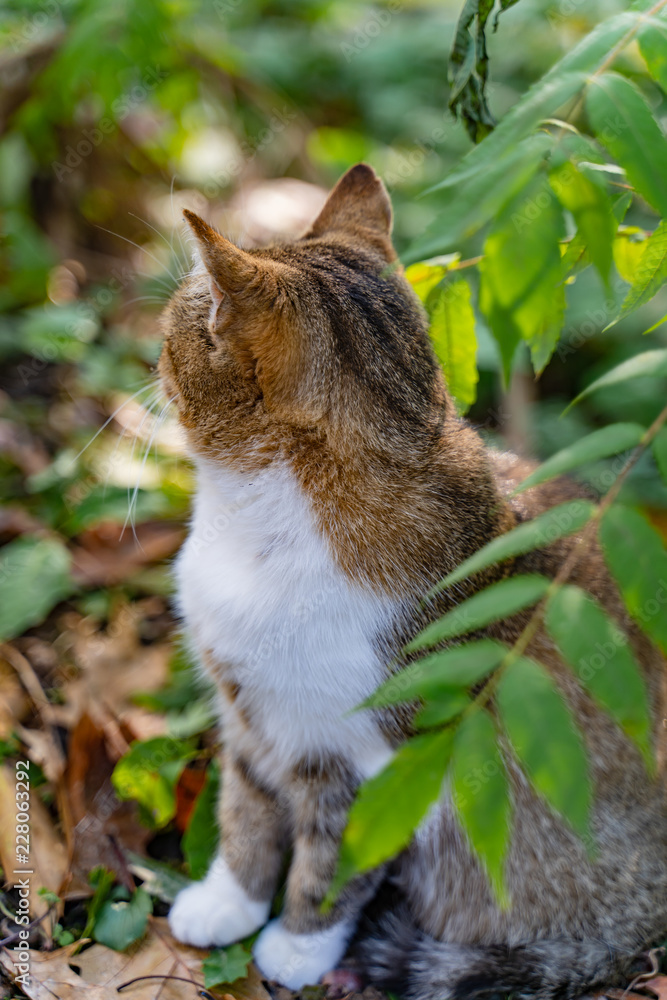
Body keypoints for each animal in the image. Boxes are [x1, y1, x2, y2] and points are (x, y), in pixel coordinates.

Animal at [163, 164, 667, 1000]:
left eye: (174, 323)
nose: (150, 354)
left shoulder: (375, 758)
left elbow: (334, 862)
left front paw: (295, 947)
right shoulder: (247, 716)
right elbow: (245, 812)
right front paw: (228, 900)